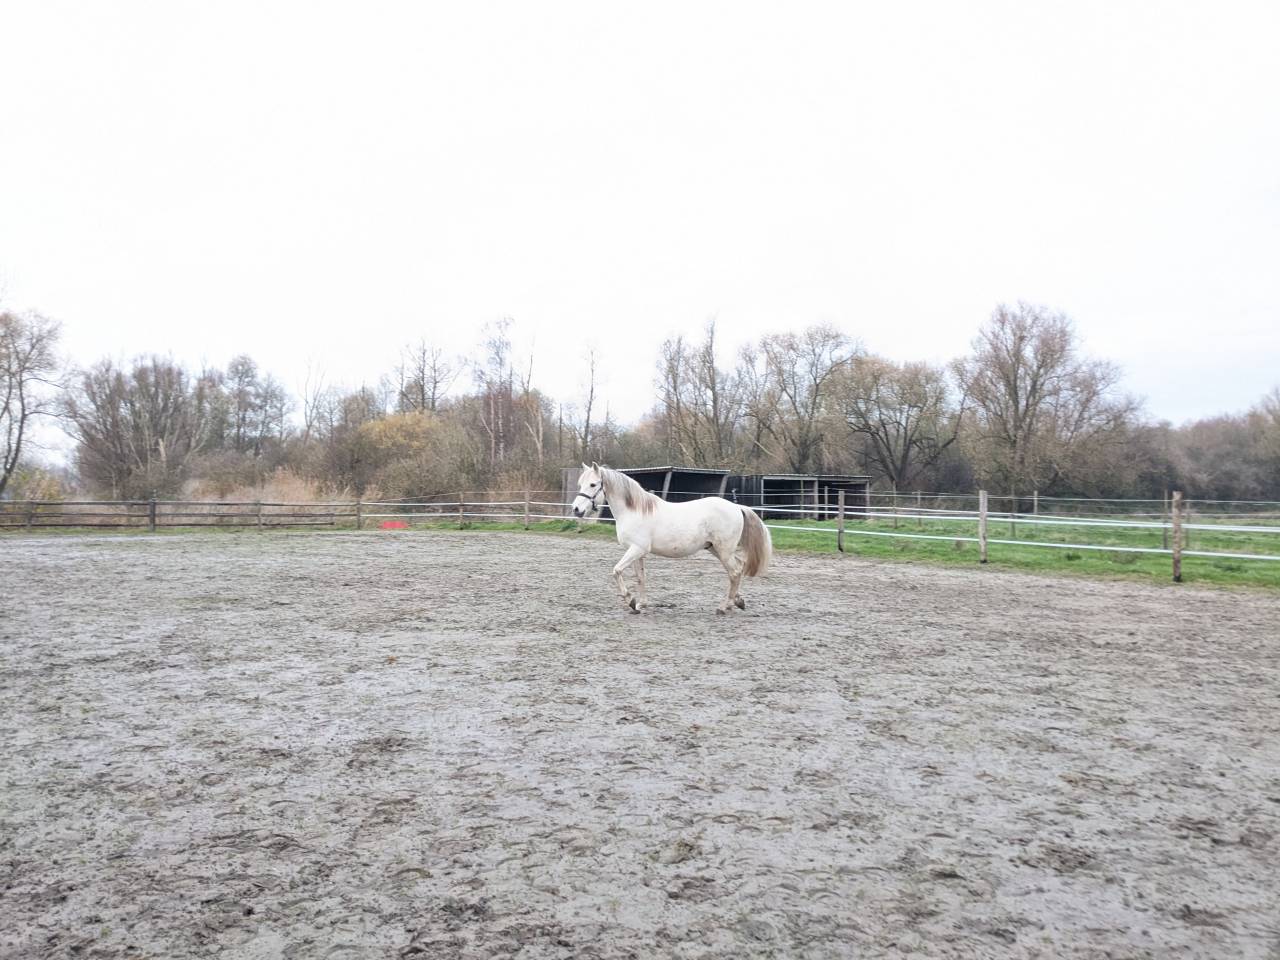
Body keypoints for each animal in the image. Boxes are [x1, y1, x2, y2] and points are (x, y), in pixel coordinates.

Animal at [570, 462, 772, 614]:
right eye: (580, 484)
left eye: (593, 485)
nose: (576, 510)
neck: (633, 511)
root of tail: (737, 507)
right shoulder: (637, 552)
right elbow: (640, 578)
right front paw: (641, 604)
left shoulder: (636, 549)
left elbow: (616, 571)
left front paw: (630, 600)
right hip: (716, 549)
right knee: (738, 568)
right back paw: (738, 601)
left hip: (723, 550)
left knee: (735, 572)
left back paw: (724, 606)